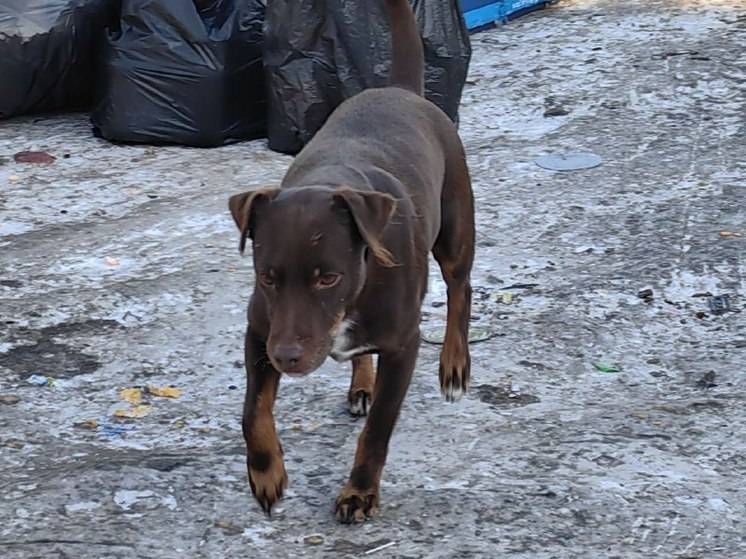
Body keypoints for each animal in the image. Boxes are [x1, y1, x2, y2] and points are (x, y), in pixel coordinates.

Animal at [227, 0, 474, 524]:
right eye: (267, 277)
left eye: (329, 278)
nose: (288, 358)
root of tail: (400, 90)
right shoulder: (261, 330)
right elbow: (252, 410)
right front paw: (266, 473)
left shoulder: (403, 345)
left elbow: (379, 428)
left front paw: (359, 492)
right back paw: (361, 384)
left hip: (455, 229)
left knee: (461, 289)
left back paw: (454, 365)